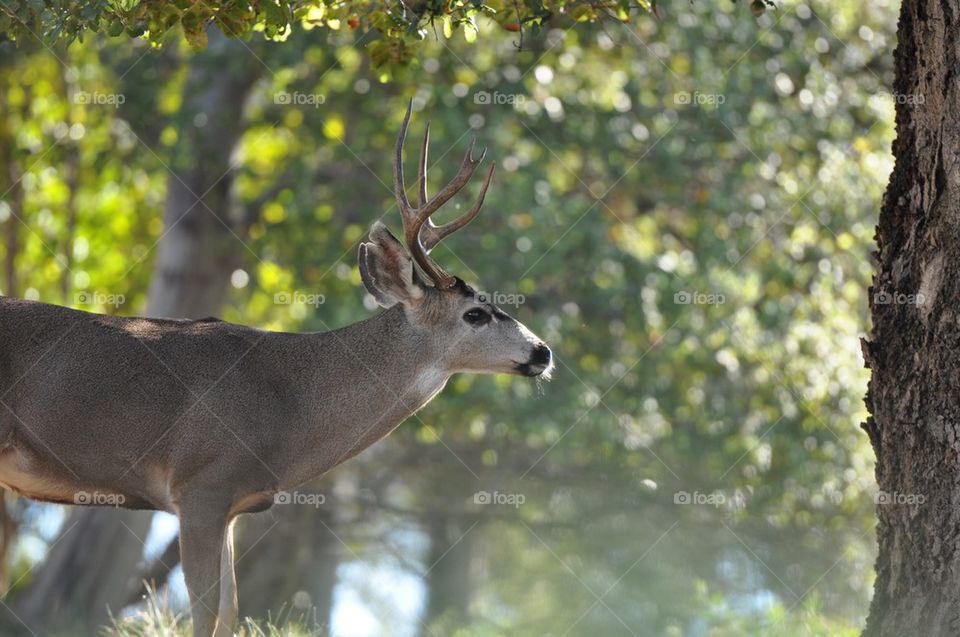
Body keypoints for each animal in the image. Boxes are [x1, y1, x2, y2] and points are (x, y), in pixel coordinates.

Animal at [0, 102, 552, 637]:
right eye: (476, 313)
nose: (544, 352)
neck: (290, 409)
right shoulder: (200, 485)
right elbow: (205, 617)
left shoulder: (232, 504)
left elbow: (229, 615)